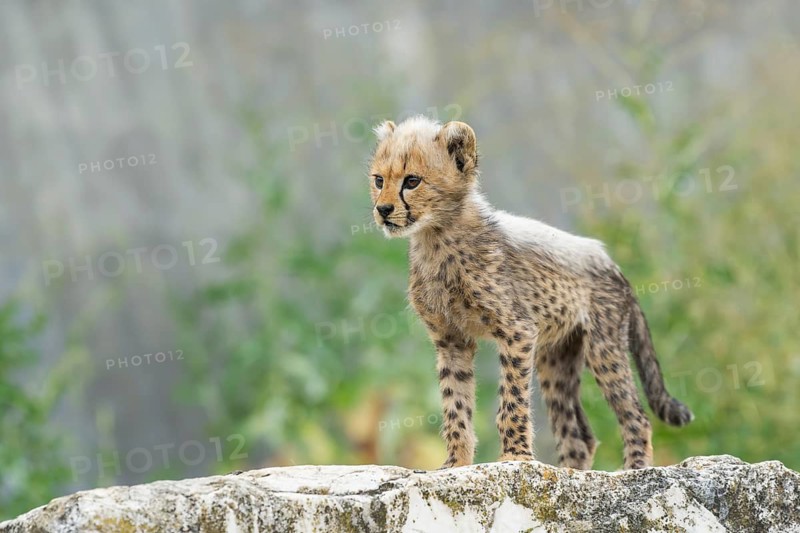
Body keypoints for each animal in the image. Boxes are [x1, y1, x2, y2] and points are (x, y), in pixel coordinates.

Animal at [367, 115, 693, 470]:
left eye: (412, 181)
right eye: (379, 180)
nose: (383, 209)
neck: (436, 236)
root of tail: (609, 260)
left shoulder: (517, 331)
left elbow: (511, 401)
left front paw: (514, 456)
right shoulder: (452, 340)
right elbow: (455, 403)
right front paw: (456, 462)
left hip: (603, 347)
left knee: (636, 416)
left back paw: (634, 471)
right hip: (557, 357)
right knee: (579, 435)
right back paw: (569, 473)